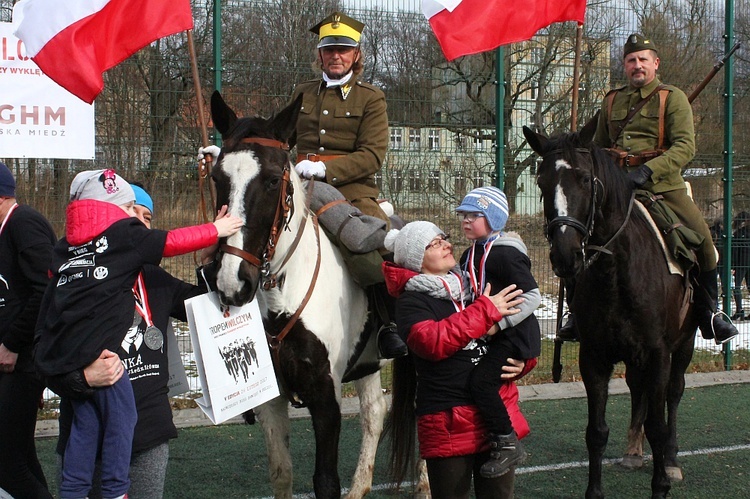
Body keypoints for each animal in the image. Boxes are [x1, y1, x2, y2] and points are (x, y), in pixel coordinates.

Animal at [210, 91, 388, 499]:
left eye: (274, 180)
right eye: (216, 177)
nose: (232, 282)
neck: (283, 298)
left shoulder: (326, 398)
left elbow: (325, 482)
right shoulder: (271, 398)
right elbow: (281, 472)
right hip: (368, 362)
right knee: (375, 412)